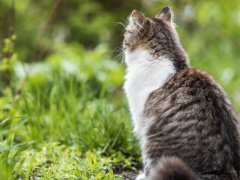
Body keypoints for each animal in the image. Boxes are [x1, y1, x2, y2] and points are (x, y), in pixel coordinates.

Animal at [123, 6, 240, 179]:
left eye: (126, 34)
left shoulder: (141, 123)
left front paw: (143, 176)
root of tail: (224, 171)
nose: (122, 46)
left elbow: (146, 165)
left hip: (153, 143)